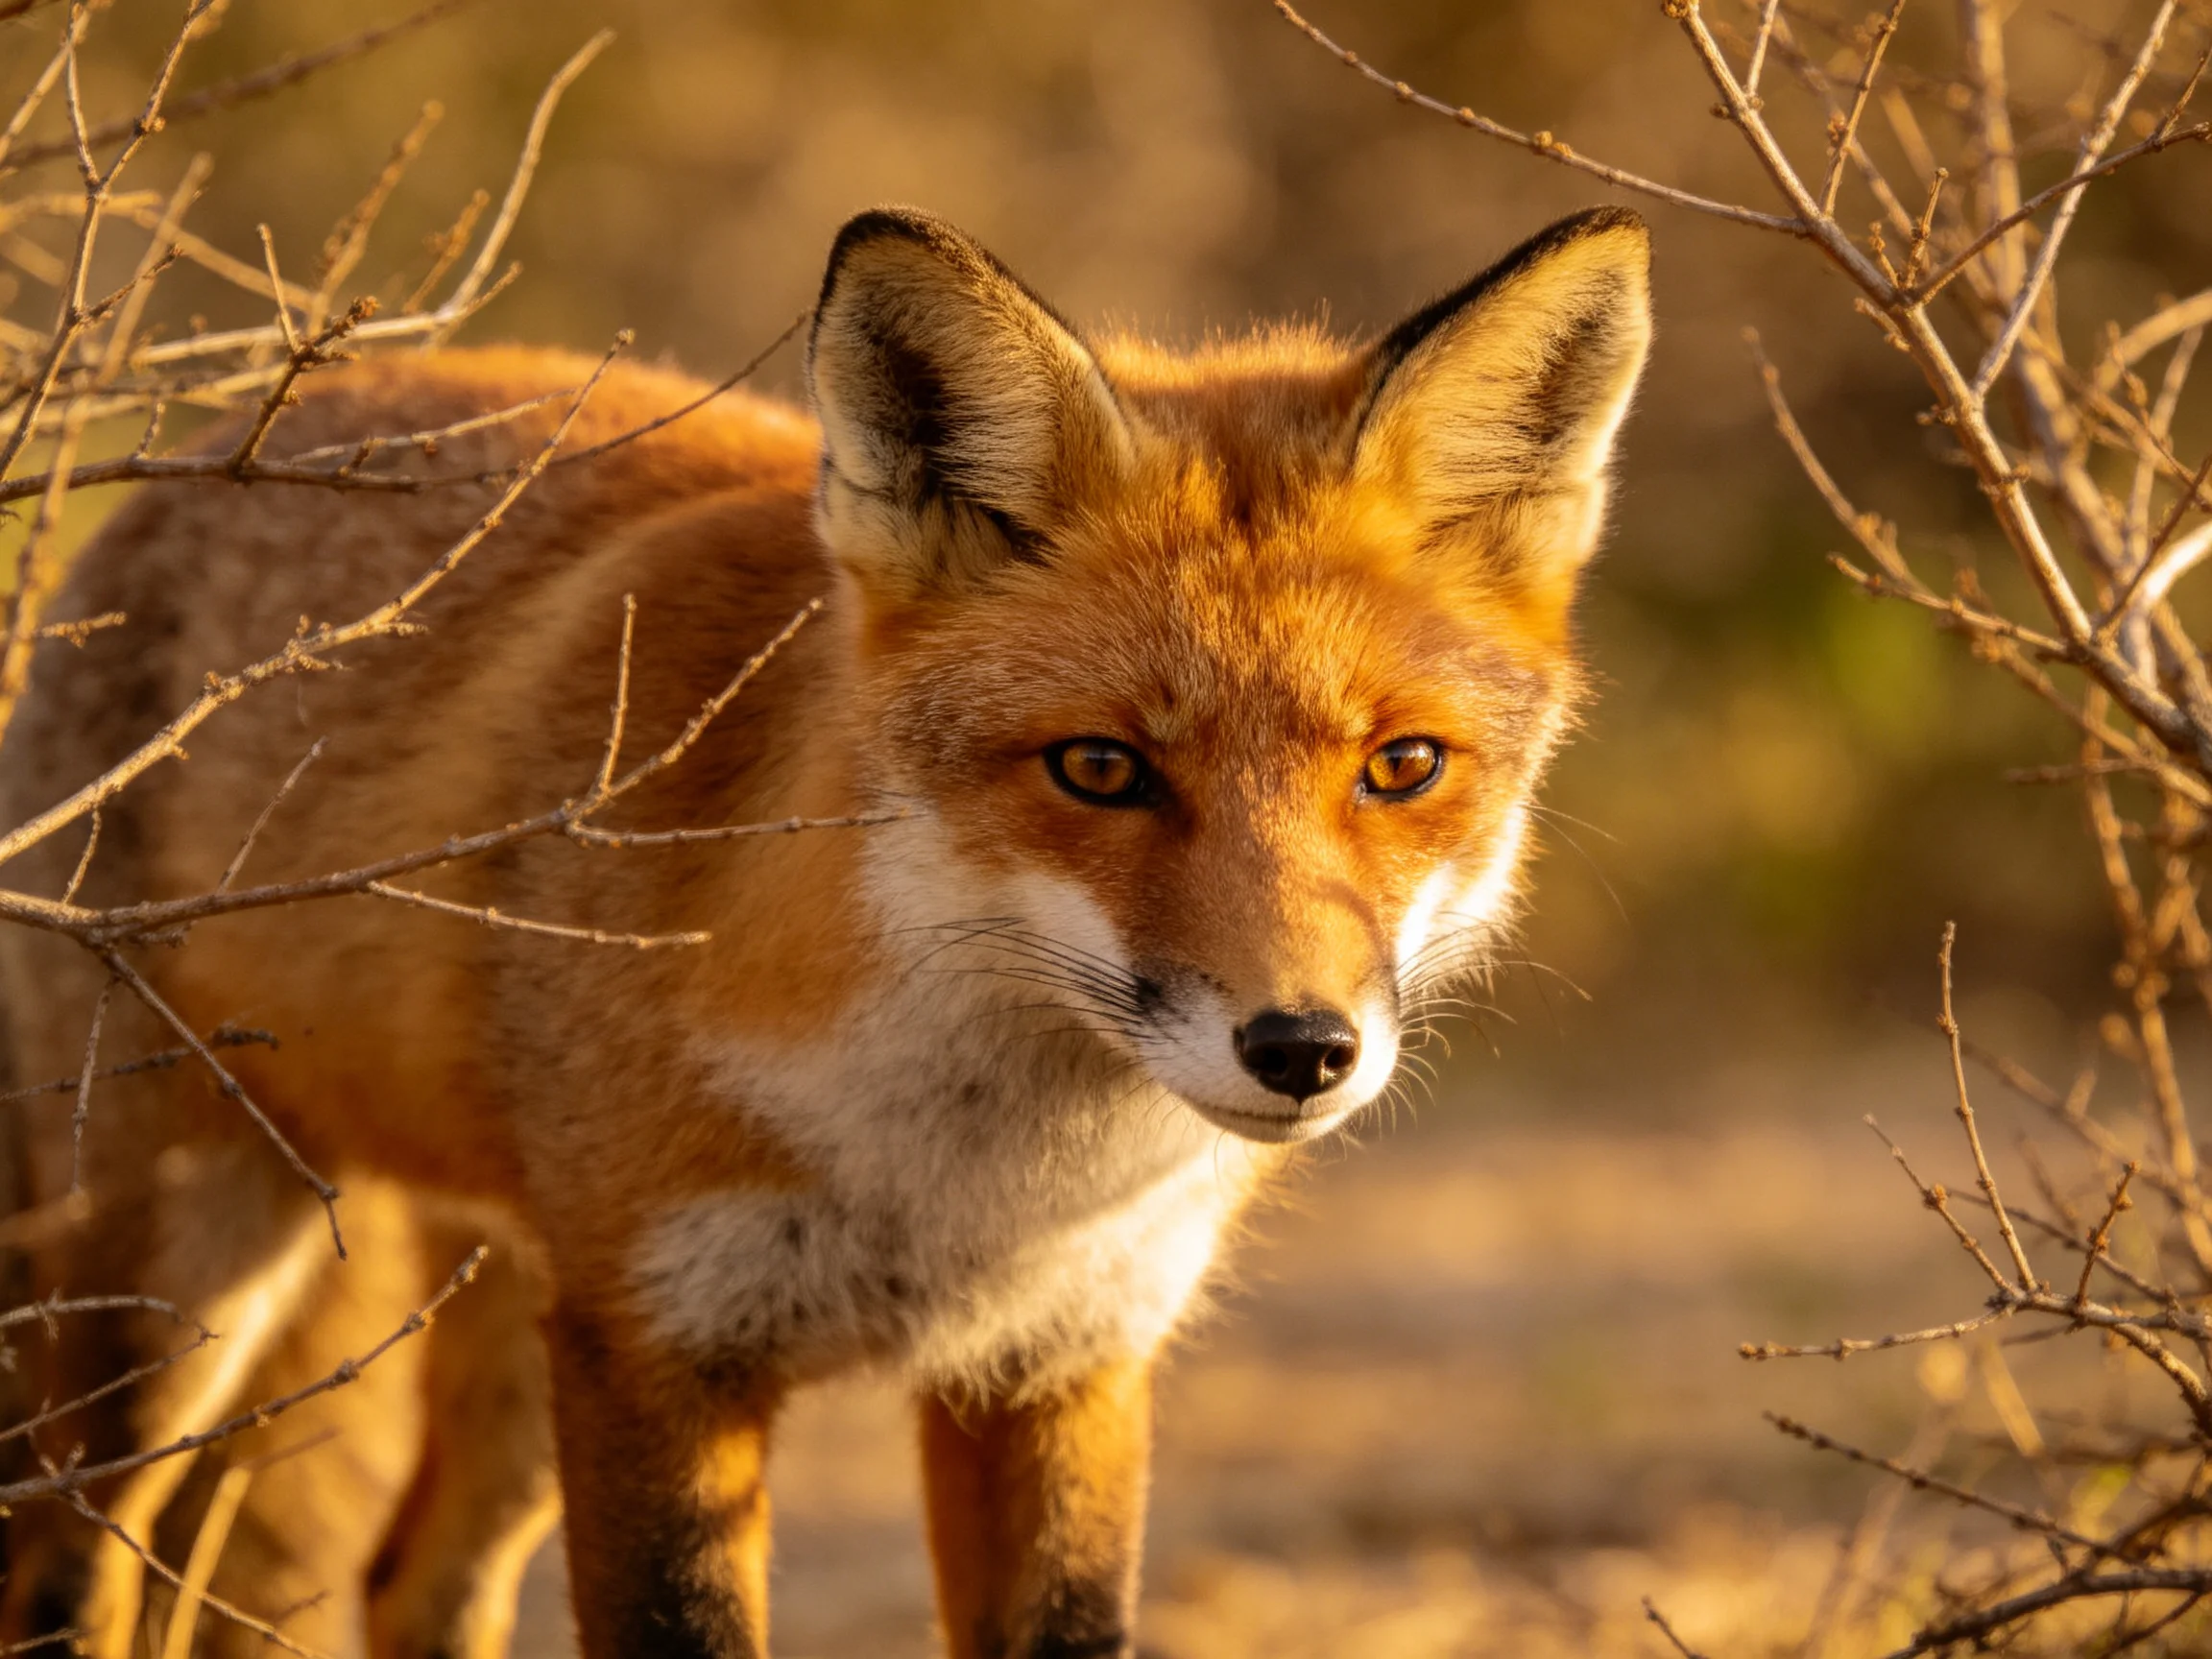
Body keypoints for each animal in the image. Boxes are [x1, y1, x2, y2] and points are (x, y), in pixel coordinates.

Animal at [0, 203, 1650, 1658]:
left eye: (1404, 768)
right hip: (171, 1293)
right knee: (69, 1578)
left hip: (518, 1327)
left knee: (415, 1581)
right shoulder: (665, 1356)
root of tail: (230, 442)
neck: (955, 1191)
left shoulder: (1059, 1365)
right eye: (1100, 769)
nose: (1303, 1049)